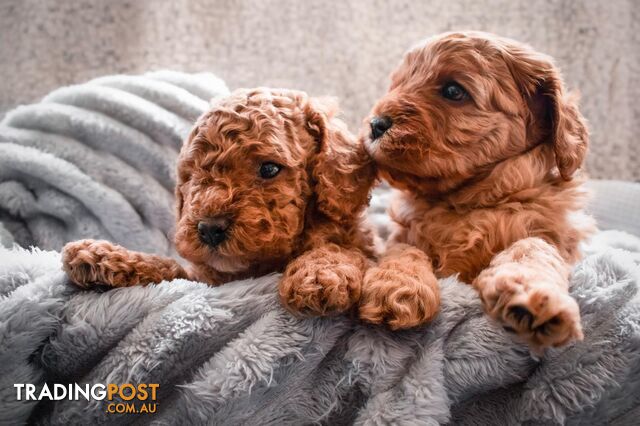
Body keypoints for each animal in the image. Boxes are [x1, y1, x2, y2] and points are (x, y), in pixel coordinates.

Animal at [61, 87, 376, 316]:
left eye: (269, 169)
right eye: (192, 175)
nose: (210, 229)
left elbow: (339, 249)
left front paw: (319, 274)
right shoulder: (203, 280)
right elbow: (172, 269)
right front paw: (104, 256)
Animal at [360, 30, 596, 352]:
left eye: (453, 90)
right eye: (397, 83)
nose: (376, 123)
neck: (467, 200)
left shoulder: (553, 234)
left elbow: (533, 247)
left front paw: (535, 299)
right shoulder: (401, 233)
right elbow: (404, 249)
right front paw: (395, 286)